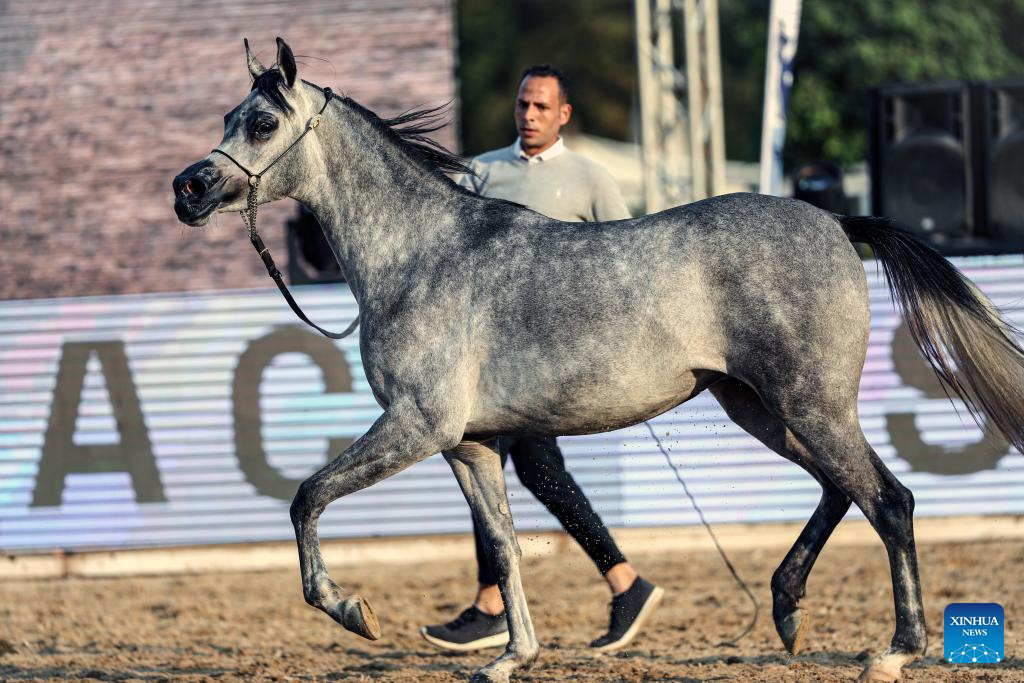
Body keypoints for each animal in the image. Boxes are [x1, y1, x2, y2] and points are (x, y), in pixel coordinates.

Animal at [172, 38, 1024, 683]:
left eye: (260, 122)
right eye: (227, 117)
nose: (188, 187)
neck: (420, 253)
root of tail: (837, 222)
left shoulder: (417, 425)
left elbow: (307, 497)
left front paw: (354, 610)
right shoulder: (469, 444)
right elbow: (504, 546)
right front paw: (509, 657)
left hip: (809, 406)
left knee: (890, 501)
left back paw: (894, 650)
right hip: (761, 408)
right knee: (841, 491)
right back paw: (784, 609)